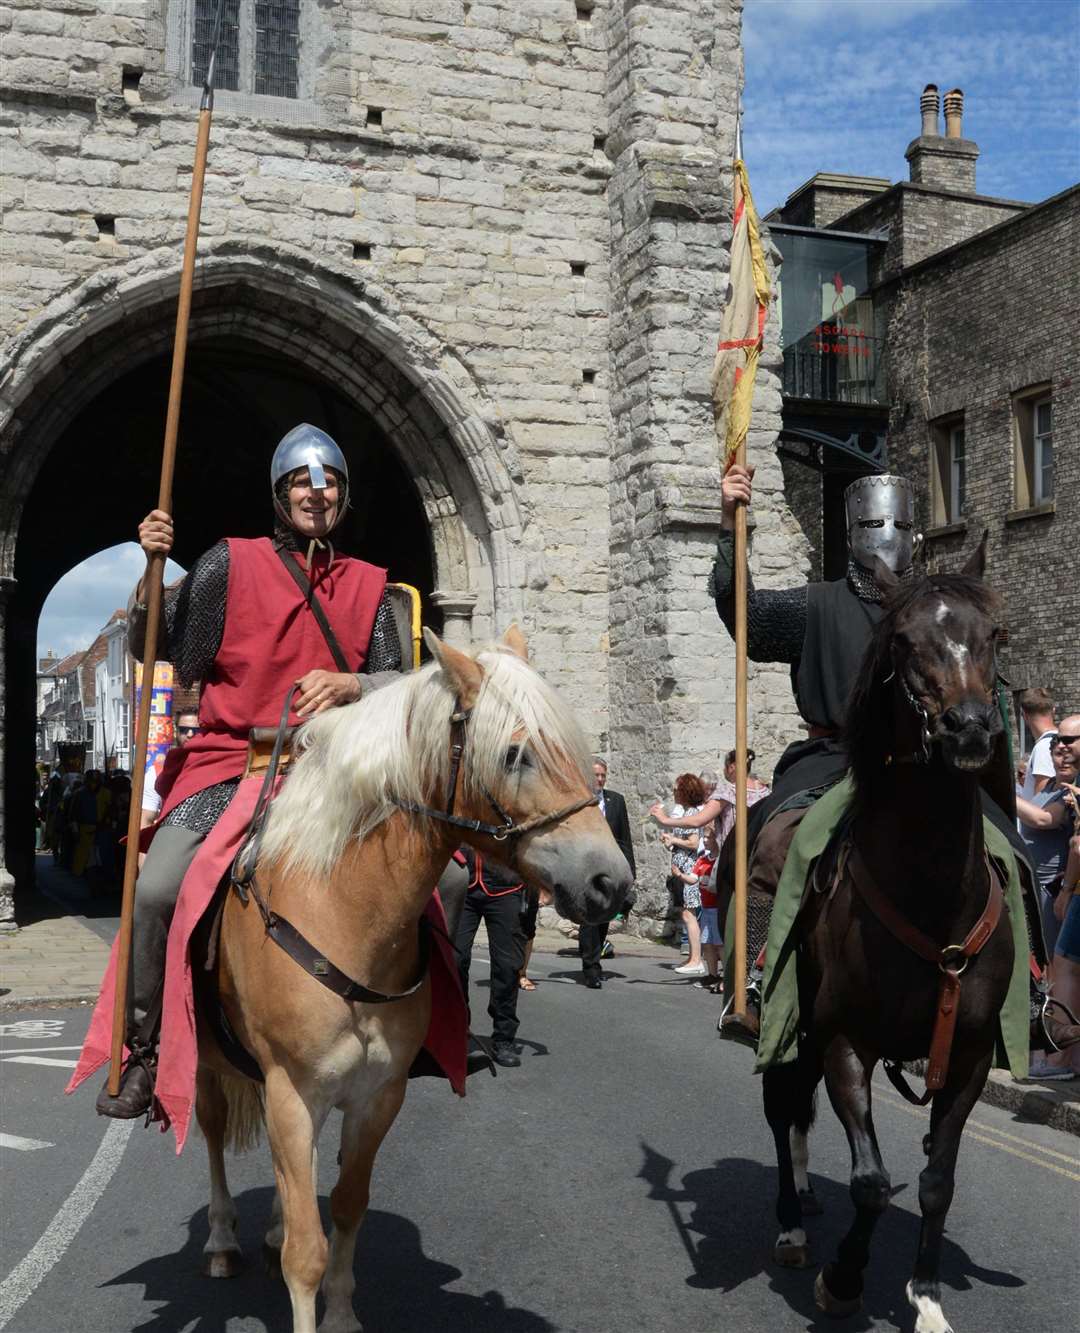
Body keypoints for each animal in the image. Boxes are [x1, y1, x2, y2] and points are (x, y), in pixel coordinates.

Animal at [194, 626, 632, 1333]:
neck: (347, 916)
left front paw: (342, 1315)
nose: (610, 883)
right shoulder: (293, 1090)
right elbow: (306, 1253)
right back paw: (221, 1239)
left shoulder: (378, 1094)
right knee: (209, 1130)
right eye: (515, 754)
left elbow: (345, 1204)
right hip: (207, 1060)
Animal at [762, 541, 1013, 1333]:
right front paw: (843, 1279)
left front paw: (925, 1294)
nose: (970, 729)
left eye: (995, 635)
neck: (932, 897)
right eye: (903, 642)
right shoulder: (847, 1040)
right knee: (782, 1109)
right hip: (790, 1024)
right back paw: (792, 1224)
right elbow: (871, 1181)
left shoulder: (967, 1056)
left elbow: (936, 1180)